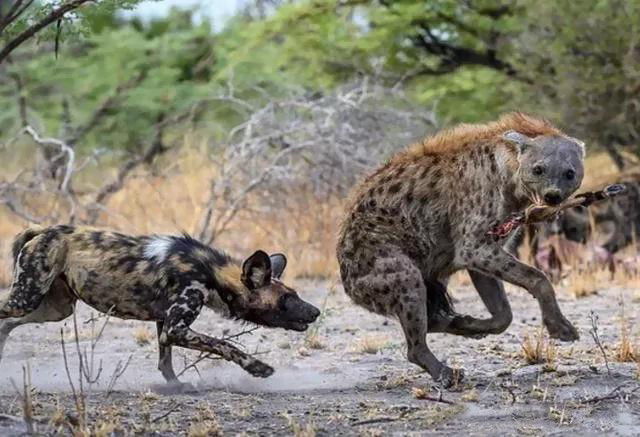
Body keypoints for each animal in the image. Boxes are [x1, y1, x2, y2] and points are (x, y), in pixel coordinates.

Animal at [0, 225, 320, 388]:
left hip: (55, 309)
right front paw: (258, 368)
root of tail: (44, 231)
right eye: (287, 300)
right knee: (5, 314)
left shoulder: (165, 324)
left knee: (7, 323)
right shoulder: (176, 327)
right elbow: (225, 345)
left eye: (294, 294)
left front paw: (177, 386)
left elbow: (165, 361)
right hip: (26, 298)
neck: (211, 273)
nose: (316, 311)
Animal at [340, 111, 584, 384]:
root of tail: (347, 281)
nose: (553, 196)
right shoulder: (474, 244)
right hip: (388, 265)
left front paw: (470, 325)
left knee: (430, 314)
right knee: (414, 337)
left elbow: (504, 314)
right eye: (538, 169)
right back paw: (446, 373)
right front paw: (561, 328)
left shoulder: (484, 250)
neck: (508, 178)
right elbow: (537, 277)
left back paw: (453, 323)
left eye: (570, 173)